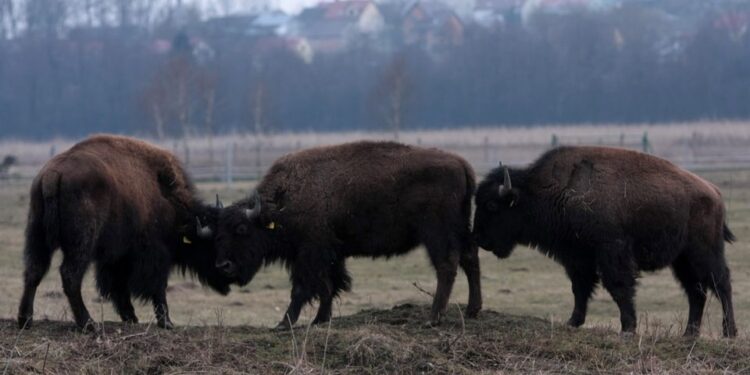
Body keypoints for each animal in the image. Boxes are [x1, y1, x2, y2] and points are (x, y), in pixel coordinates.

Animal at [19, 135, 234, 332]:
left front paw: (130, 317)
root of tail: (52, 175)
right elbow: (157, 286)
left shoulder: (116, 257)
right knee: (70, 275)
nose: (228, 272)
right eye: (214, 243)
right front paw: (166, 322)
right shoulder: (153, 255)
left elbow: (119, 287)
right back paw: (89, 324)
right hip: (81, 244)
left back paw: (25, 320)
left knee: (34, 271)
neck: (165, 195)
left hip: (36, 235)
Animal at [212, 141, 482, 328]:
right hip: (461, 229)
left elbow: (304, 288)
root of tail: (461, 163)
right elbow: (329, 287)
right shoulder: (331, 254)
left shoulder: (310, 253)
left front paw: (283, 324)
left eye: (242, 229)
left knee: (447, 267)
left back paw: (433, 318)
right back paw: (472, 310)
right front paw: (319, 320)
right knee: (470, 260)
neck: (282, 202)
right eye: (218, 231)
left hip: (437, 234)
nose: (223, 265)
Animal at [476, 146, 740, 338]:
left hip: (704, 253)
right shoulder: (577, 258)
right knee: (697, 292)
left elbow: (619, 287)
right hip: (682, 260)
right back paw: (689, 334)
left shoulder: (612, 253)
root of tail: (714, 192)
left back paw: (729, 332)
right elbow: (580, 289)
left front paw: (628, 328)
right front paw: (573, 321)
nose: (480, 240)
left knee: (721, 284)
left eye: (492, 205)